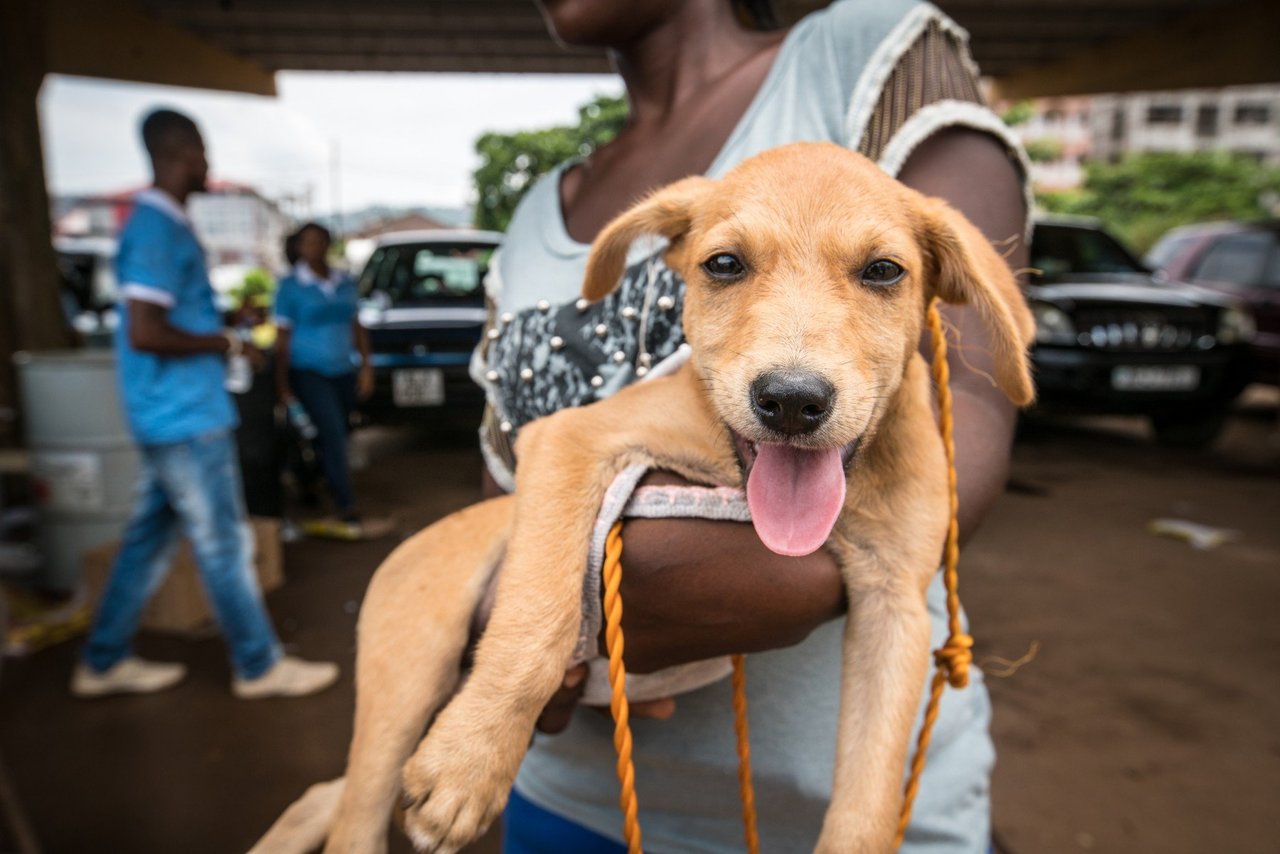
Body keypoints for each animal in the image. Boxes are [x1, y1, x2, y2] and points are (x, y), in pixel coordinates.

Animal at [264, 142, 1034, 854]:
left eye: (883, 271)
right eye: (724, 265)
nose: (791, 401)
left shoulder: (894, 604)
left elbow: (869, 799)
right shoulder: (572, 438)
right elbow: (538, 617)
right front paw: (468, 763)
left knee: (327, 796)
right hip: (408, 671)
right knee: (355, 812)